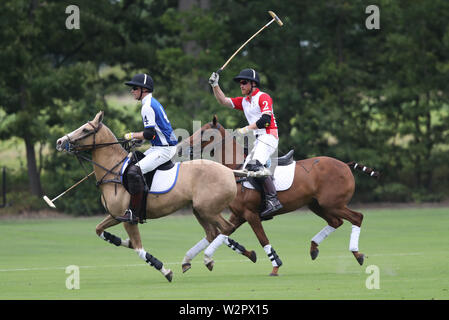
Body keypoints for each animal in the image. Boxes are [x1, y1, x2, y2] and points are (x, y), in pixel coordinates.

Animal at [55, 112, 238, 282]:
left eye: (85, 130)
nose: (59, 142)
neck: (114, 171)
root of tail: (230, 172)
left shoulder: (129, 219)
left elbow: (138, 248)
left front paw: (164, 270)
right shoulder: (116, 215)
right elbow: (99, 230)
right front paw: (123, 241)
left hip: (208, 209)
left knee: (226, 228)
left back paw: (207, 257)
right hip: (198, 209)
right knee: (212, 232)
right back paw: (190, 260)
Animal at [178, 115, 378, 276]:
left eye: (204, 131)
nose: (182, 148)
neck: (237, 169)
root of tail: (345, 164)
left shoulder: (250, 214)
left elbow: (262, 239)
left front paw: (275, 266)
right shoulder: (238, 214)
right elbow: (222, 234)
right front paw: (195, 259)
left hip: (333, 203)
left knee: (357, 217)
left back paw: (357, 253)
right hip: (317, 204)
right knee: (336, 222)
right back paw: (314, 248)